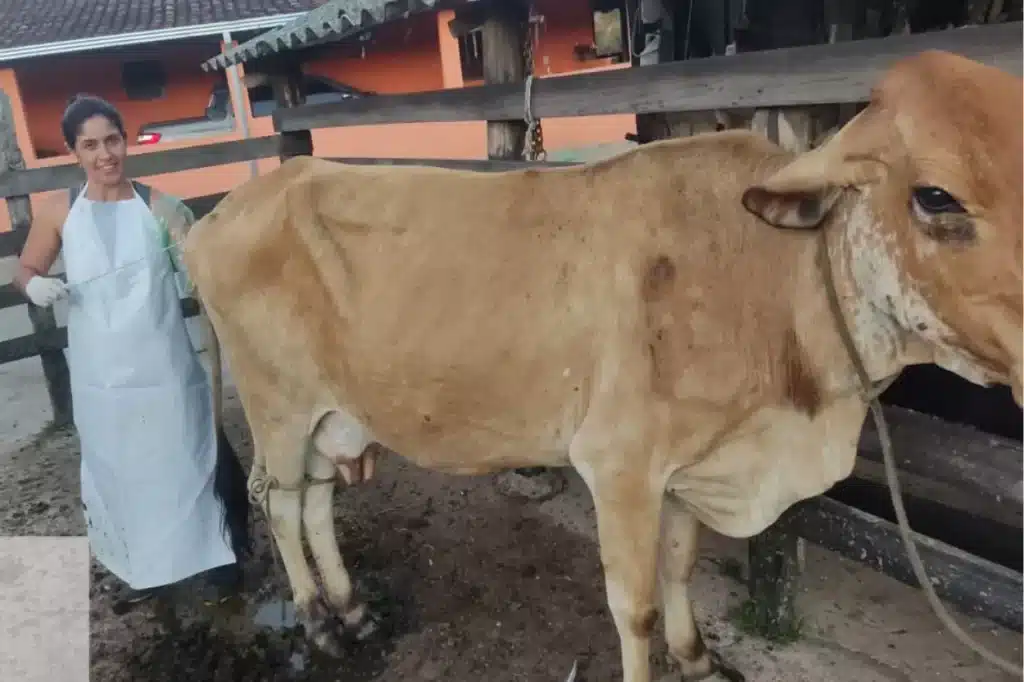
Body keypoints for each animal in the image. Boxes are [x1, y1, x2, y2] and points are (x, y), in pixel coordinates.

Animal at [181, 50, 1021, 682]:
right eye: (936, 195)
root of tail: (223, 208)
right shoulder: (620, 465)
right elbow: (635, 605)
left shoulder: (688, 468)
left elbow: (679, 567)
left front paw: (699, 658)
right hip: (277, 405)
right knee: (280, 503)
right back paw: (318, 622)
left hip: (336, 415)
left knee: (318, 500)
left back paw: (352, 609)